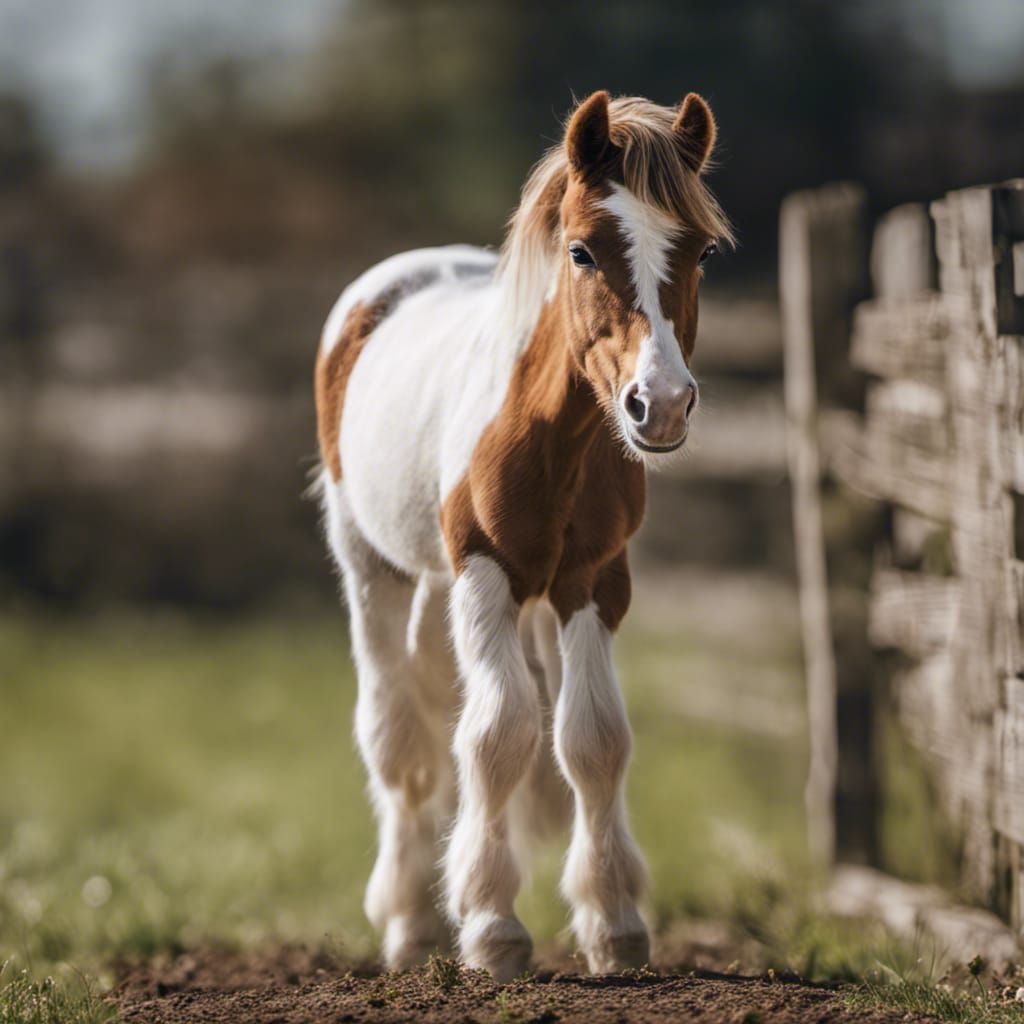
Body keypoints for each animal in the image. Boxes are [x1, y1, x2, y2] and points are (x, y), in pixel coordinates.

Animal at [313, 90, 732, 981]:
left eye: (703, 249)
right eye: (580, 250)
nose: (661, 405)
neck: (552, 435)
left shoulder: (596, 580)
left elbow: (592, 739)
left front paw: (614, 925)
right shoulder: (486, 573)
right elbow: (498, 735)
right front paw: (491, 927)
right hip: (372, 566)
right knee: (399, 738)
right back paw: (411, 922)